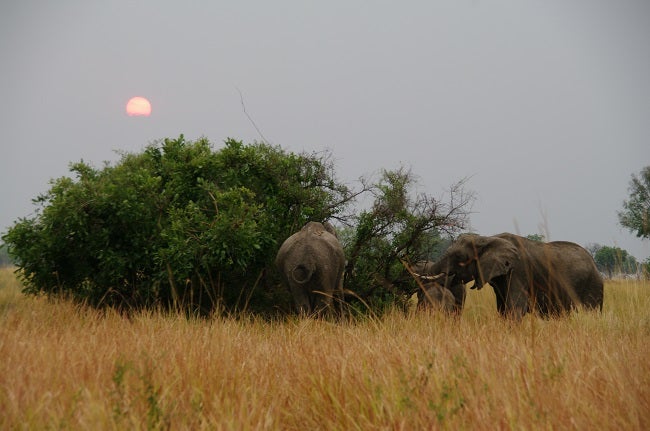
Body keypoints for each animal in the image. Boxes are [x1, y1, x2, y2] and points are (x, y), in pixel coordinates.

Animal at [426, 233, 604, 320]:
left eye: (459, 257)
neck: (487, 238)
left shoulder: (519, 272)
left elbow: (515, 308)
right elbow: (503, 309)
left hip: (593, 284)